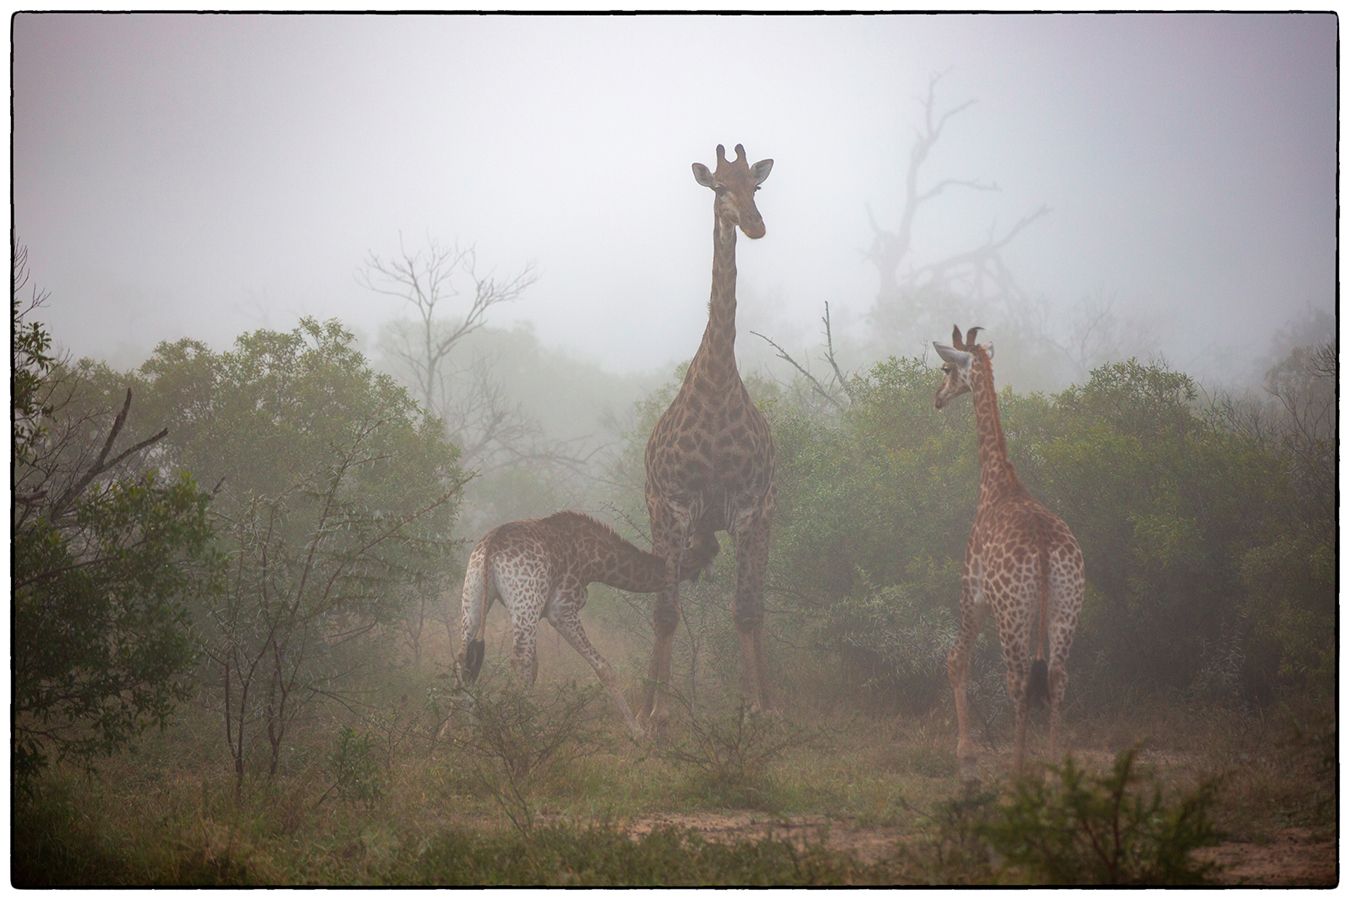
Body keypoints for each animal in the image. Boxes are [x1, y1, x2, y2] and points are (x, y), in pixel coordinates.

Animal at [456, 512, 718, 739]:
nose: (713, 576)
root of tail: (491, 546)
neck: (596, 560)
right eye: (712, 551)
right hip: (524, 599)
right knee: (518, 658)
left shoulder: (541, 613)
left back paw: (461, 732)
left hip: (474, 593)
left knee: (463, 655)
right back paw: (522, 731)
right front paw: (637, 731)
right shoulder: (561, 610)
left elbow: (536, 668)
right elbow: (604, 667)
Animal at [939, 327, 1085, 771]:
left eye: (946, 369)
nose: (937, 398)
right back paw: (1053, 771)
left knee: (1017, 680)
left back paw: (1018, 771)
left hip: (1012, 610)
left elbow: (957, 658)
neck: (997, 483)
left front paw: (965, 751)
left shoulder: (972, 590)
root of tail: (1044, 551)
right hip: (1067, 605)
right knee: (1057, 677)